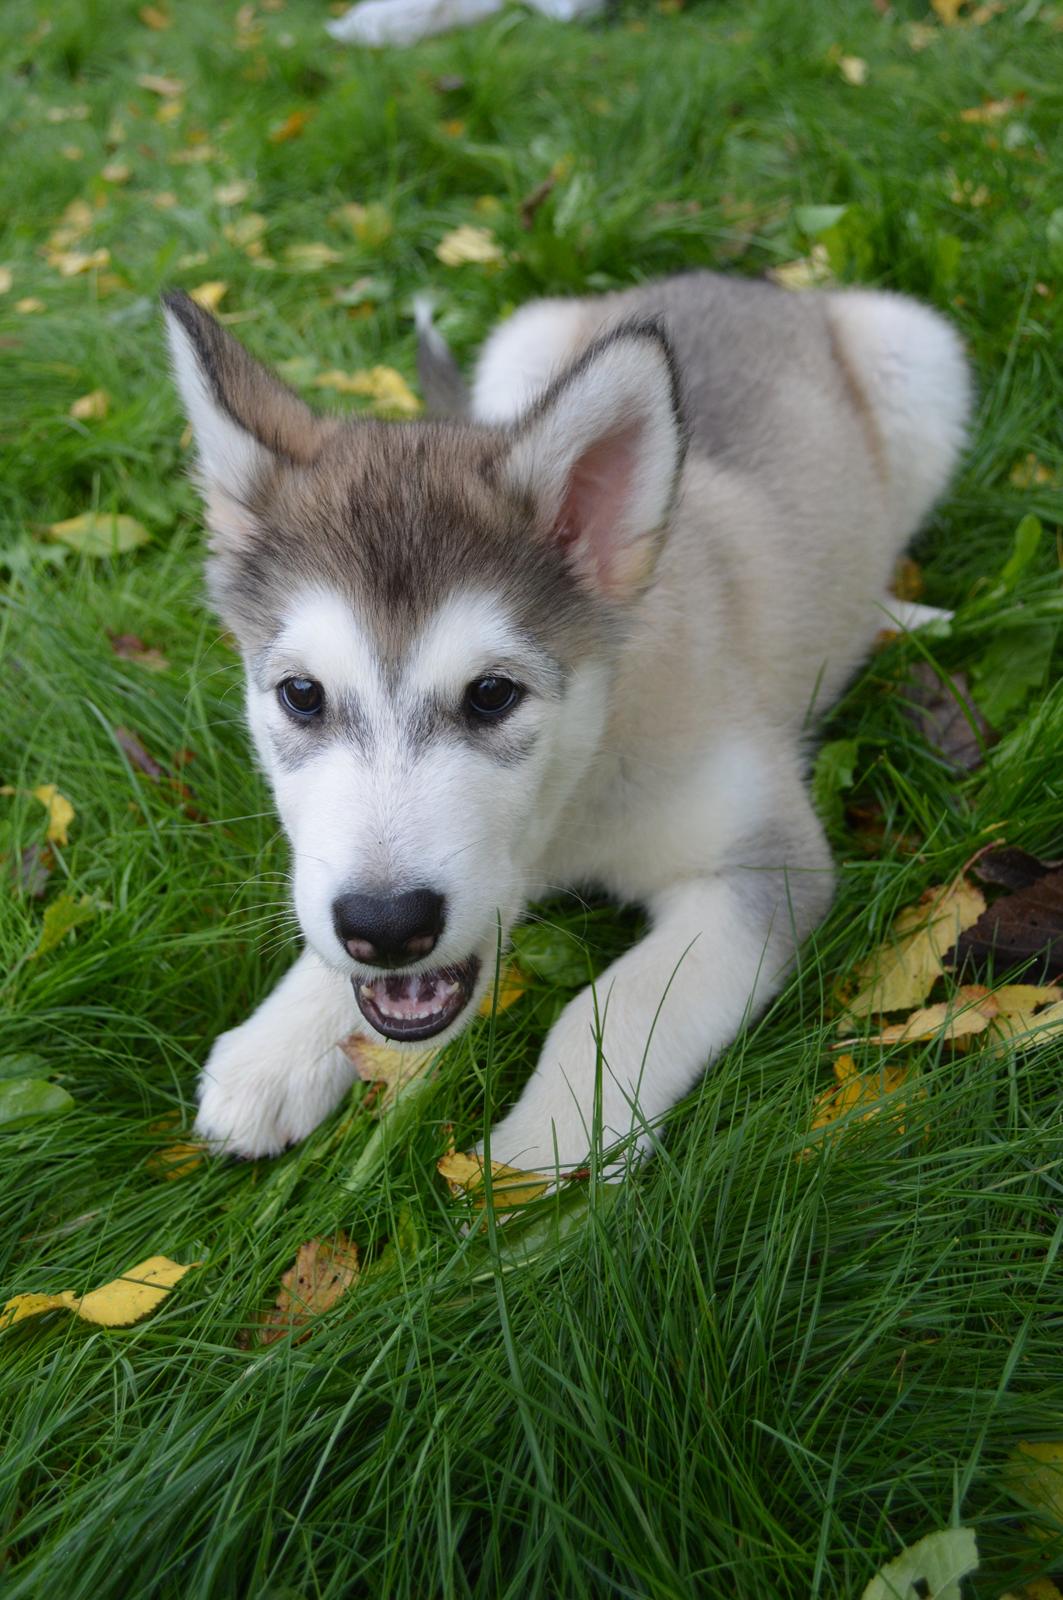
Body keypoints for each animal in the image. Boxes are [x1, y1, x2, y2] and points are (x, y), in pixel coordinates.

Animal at [166, 272, 973, 1177]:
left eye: (492, 694)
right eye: (302, 694)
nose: (387, 927)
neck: (575, 796)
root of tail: (734, 277)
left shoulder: (765, 864)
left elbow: (618, 1003)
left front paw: (545, 1149)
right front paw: (278, 1048)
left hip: (915, 352)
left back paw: (897, 617)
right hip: (522, 343)